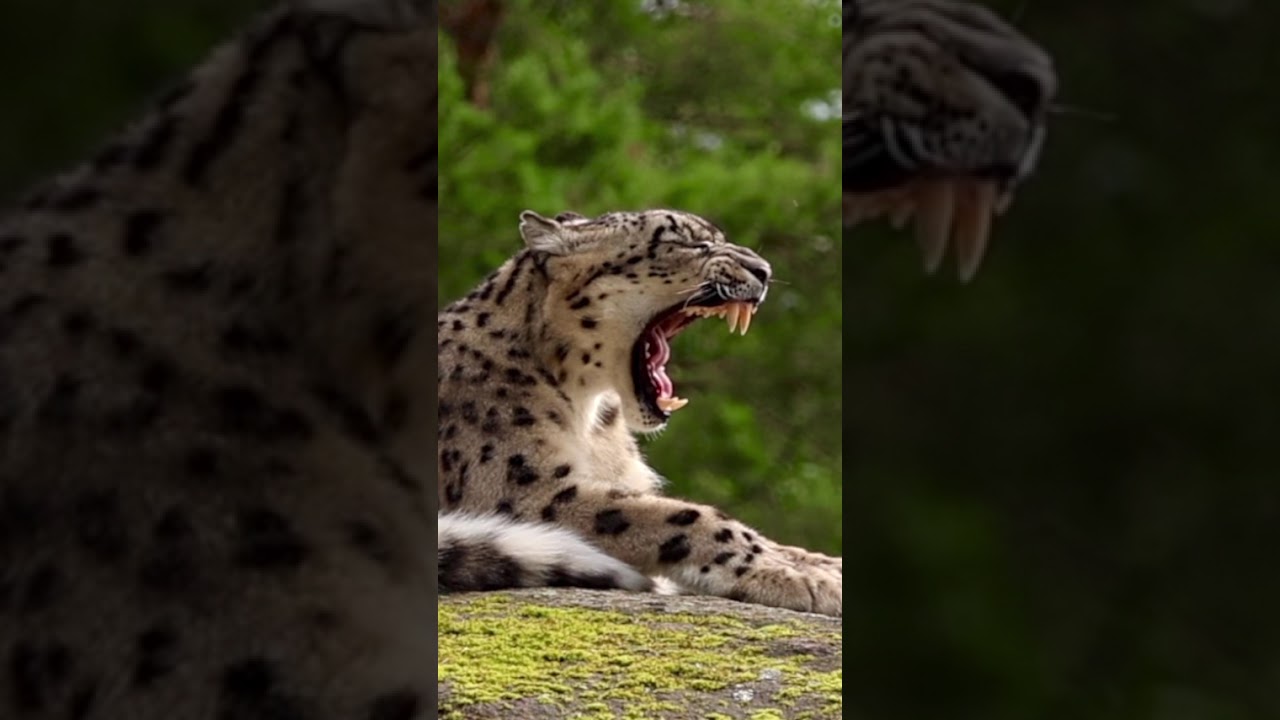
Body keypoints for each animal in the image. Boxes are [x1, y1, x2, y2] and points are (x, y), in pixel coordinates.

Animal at [437, 209, 843, 616]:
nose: (763, 270)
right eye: (690, 243)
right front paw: (804, 578)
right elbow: (686, 516)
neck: (589, 414)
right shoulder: (522, 488)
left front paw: (821, 563)